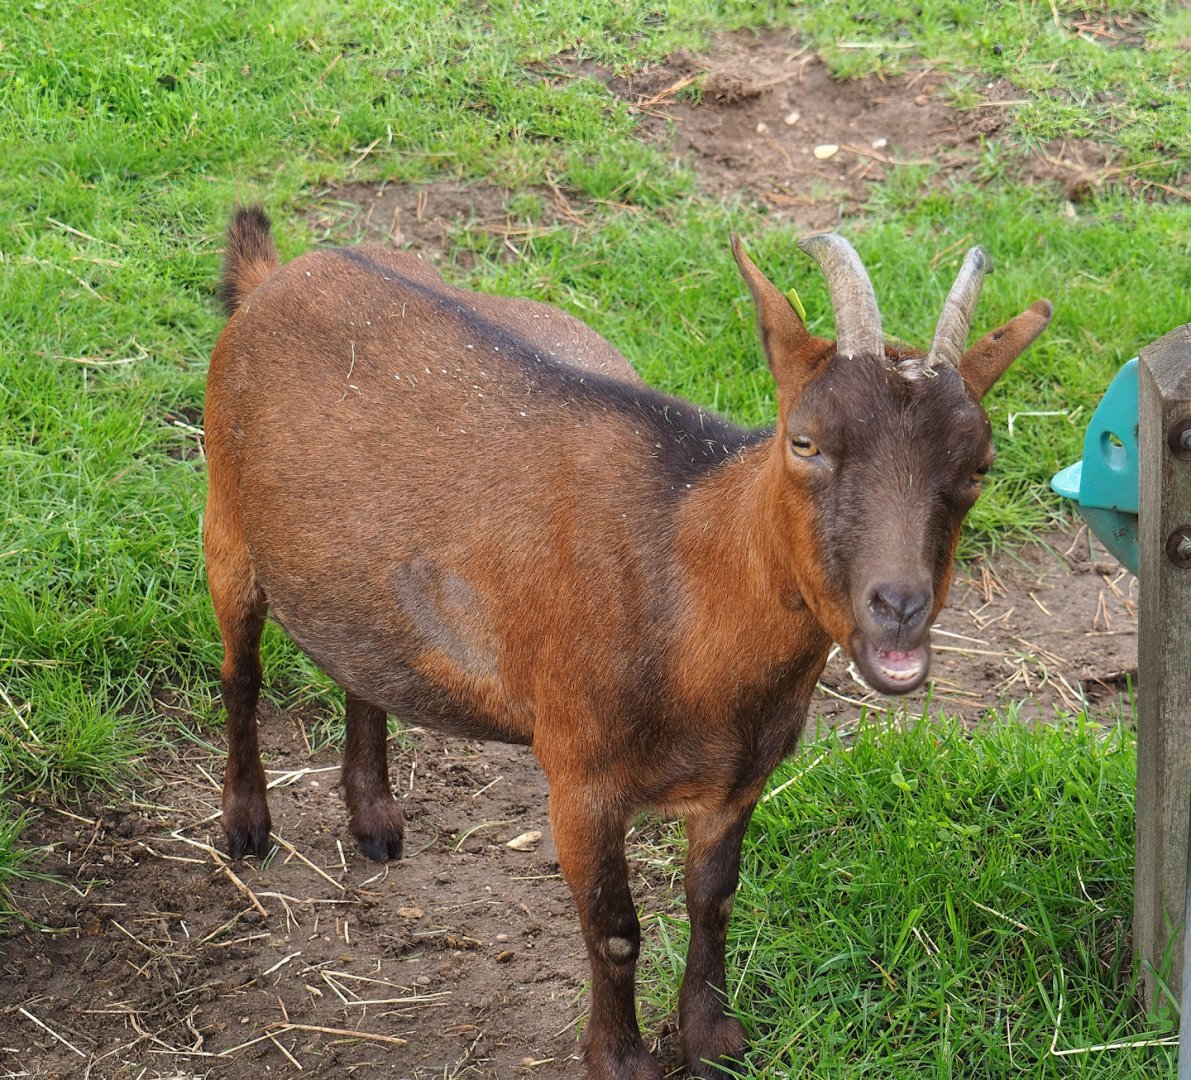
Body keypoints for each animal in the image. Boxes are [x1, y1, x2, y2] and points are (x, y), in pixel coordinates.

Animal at [204, 207, 1051, 1079]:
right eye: (805, 442)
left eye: (979, 465)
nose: (898, 607)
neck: (679, 576)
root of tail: (280, 275)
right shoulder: (579, 779)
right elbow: (613, 931)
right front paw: (619, 1058)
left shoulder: (739, 780)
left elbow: (713, 901)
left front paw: (714, 1041)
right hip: (226, 527)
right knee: (241, 672)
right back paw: (246, 825)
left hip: (358, 576)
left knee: (360, 667)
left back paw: (374, 819)